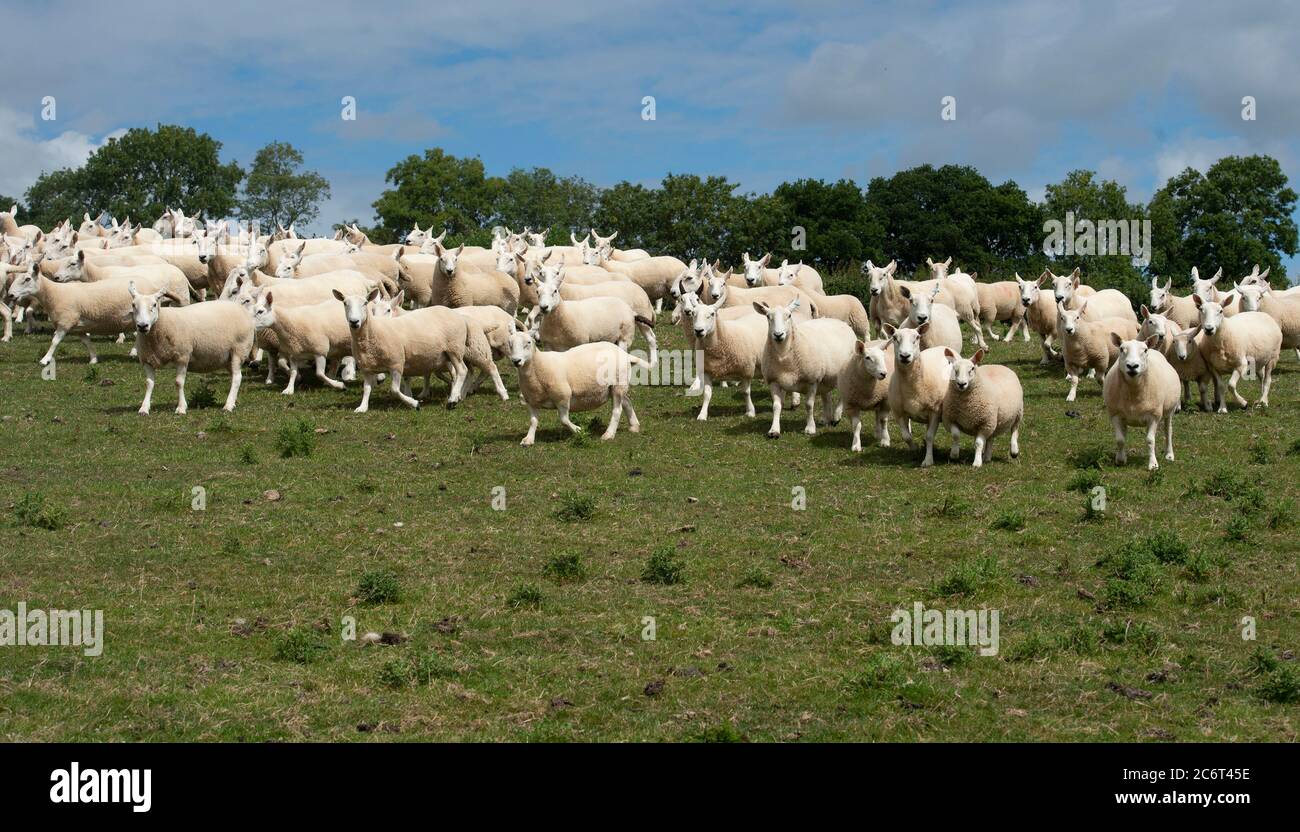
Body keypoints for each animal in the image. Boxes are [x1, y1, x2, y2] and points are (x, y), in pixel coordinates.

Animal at [128, 286, 254, 416]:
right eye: (133, 305)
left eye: (154, 304)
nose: (142, 326)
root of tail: (240, 308)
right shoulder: (146, 359)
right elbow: (149, 383)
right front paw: (144, 408)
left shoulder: (182, 356)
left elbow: (179, 382)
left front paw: (181, 408)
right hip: (227, 357)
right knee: (234, 375)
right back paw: (232, 402)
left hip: (239, 350)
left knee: (237, 377)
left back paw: (228, 405)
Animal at [506, 323, 650, 444]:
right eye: (509, 344)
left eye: (528, 342)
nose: (516, 361)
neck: (538, 367)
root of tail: (625, 354)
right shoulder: (531, 401)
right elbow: (533, 421)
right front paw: (528, 439)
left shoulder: (563, 396)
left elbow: (564, 420)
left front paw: (578, 430)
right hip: (617, 386)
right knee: (627, 402)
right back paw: (634, 426)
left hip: (618, 384)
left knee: (617, 409)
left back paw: (609, 434)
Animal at [748, 299, 857, 441]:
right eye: (768, 316)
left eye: (789, 315)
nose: (778, 335)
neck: (784, 357)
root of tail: (838, 321)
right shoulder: (774, 381)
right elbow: (776, 406)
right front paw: (774, 430)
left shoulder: (812, 380)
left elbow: (809, 405)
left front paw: (810, 428)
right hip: (826, 376)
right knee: (826, 396)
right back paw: (826, 418)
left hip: (844, 373)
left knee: (842, 395)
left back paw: (836, 416)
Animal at [878, 323, 951, 467]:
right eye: (895, 338)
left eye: (917, 337)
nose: (905, 356)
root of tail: (942, 347)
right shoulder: (899, 412)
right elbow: (906, 436)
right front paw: (914, 449)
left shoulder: (935, 411)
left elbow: (929, 436)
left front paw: (928, 460)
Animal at [1102, 335, 1185, 470]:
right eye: (1121, 349)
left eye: (1145, 350)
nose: (1132, 366)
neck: (1134, 391)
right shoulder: (1115, 414)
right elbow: (1120, 439)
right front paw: (1120, 460)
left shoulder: (1154, 416)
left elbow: (1150, 440)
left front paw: (1153, 464)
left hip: (1169, 411)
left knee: (1168, 430)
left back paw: (1169, 454)